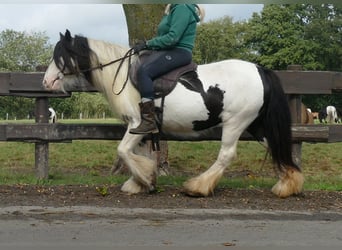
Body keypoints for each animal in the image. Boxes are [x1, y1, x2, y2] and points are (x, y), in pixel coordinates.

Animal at [41, 29, 304, 197]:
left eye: (60, 57)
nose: (46, 82)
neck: (123, 73)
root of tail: (260, 70)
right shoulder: (140, 129)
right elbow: (136, 153)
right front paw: (139, 182)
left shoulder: (137, 123)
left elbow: (123, 151)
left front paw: (146, 180)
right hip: (256, 124)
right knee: (276, 147)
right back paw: (288, 185)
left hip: (236, 123)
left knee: (227, 155)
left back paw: (198, 186)